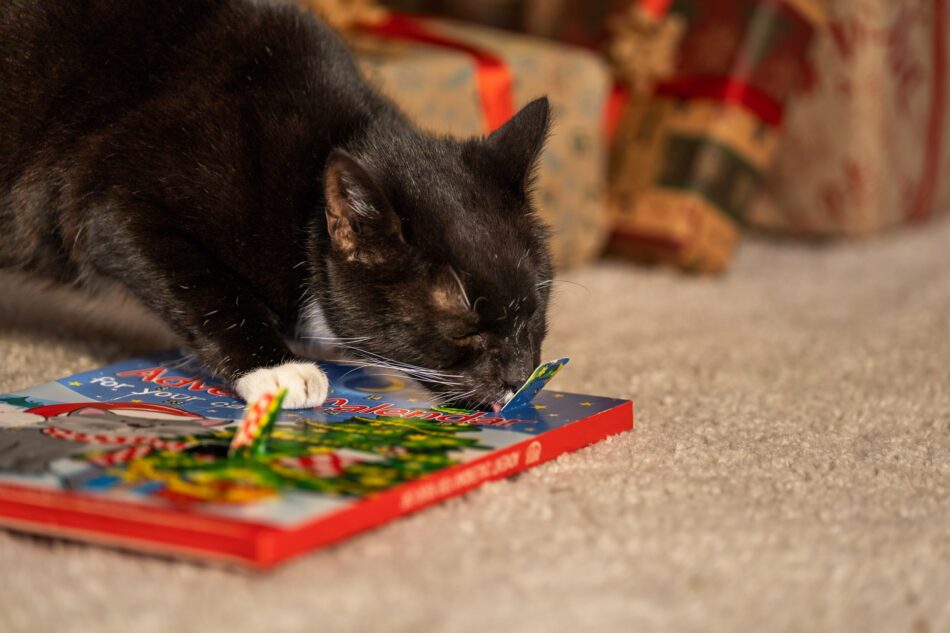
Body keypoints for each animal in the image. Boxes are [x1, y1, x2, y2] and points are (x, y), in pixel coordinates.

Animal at [0, 0, 556, 410]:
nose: (519, 376)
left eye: (535, 308)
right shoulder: (114, 199)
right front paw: (278, 370)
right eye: (464, 329)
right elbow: (207, 288)